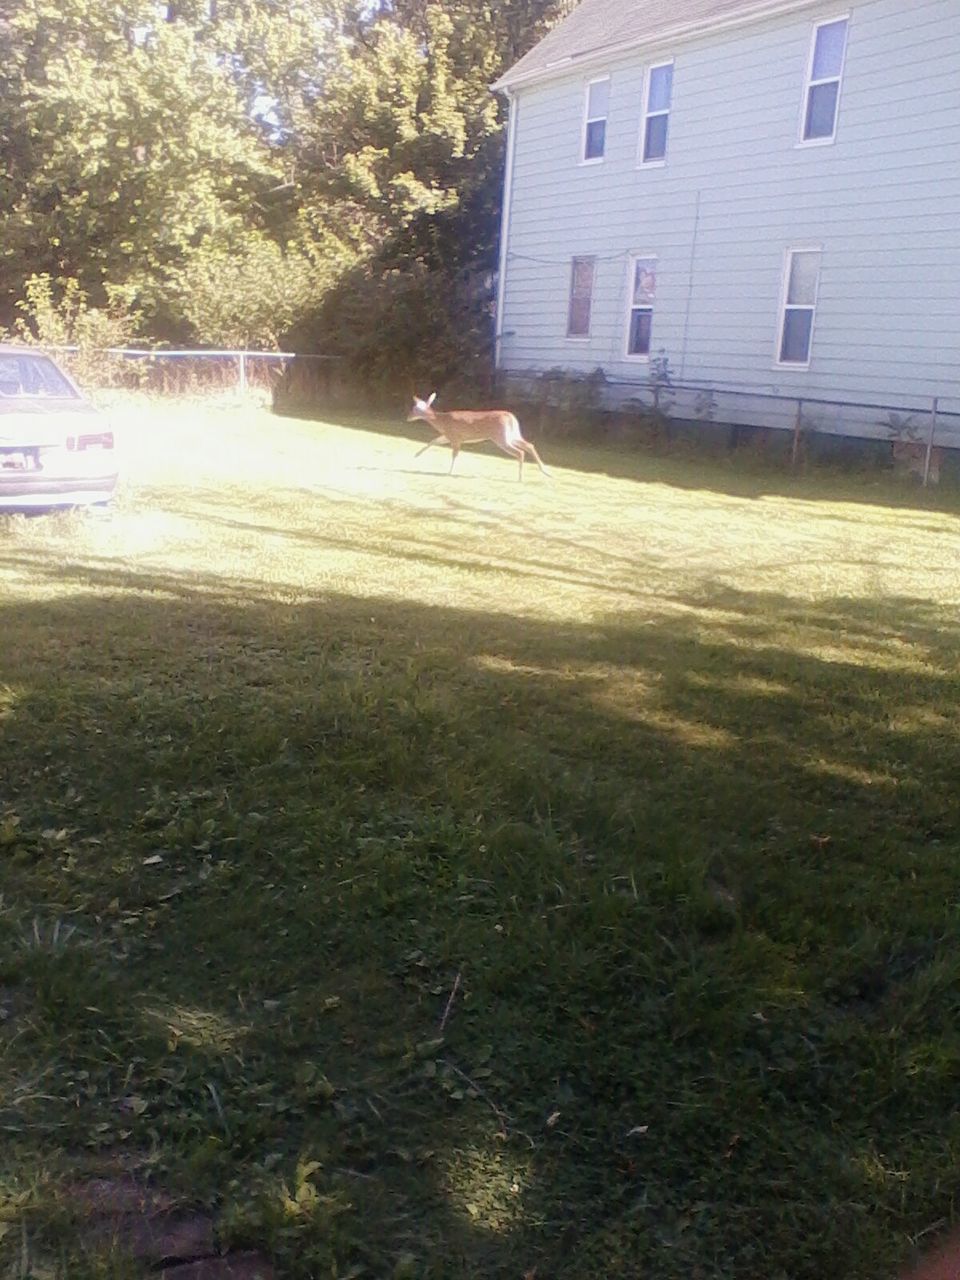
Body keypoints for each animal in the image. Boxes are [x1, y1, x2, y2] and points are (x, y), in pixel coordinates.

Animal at [409, 389, 552, 481]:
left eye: (414, 409)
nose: (408, 417)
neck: (442, 422)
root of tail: (511, 417)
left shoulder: (456, 436)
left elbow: (454, 454)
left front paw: (449, 472)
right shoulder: (449, 436)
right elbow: (433, 441)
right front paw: (416, 455)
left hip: (501, 437)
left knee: (520, 452)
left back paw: (520, 478)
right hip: (513, 434)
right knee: (530, 445)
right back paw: (546, 472)